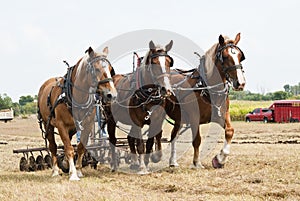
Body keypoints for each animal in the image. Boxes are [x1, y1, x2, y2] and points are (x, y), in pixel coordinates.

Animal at [37, 46, 117, 181]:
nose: (112, 94)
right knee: (53, 146)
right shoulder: (61, 125)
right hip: (48, 125)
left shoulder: (87, 124)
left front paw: (78, 171)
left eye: (110, 69)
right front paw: (73, 174)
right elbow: (69, 148)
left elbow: (80, 147)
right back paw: (55, 171)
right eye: (96, 69)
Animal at [106, 40, 173, 173]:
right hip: (111, 119)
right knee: (113, 140)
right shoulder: (137, 121)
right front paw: (142, 166)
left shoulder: (157, 121)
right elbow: (141, 144)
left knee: (130, 138)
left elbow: (150, 142)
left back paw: (134, 162)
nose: (166, 89)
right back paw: (114, 164)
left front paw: (149, 161)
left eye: (169, 62)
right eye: (154, 62)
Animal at [166, 33, 246, 168]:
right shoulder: (194, 116)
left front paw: (219, 159)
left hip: (179, 117)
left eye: (240, 56)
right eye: (225, 56)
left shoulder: (222, 114)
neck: (206, 87)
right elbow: (197, 140)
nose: (240, 83)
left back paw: (173, 161)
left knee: (173, 135)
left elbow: (230, 131)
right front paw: (197, 163)